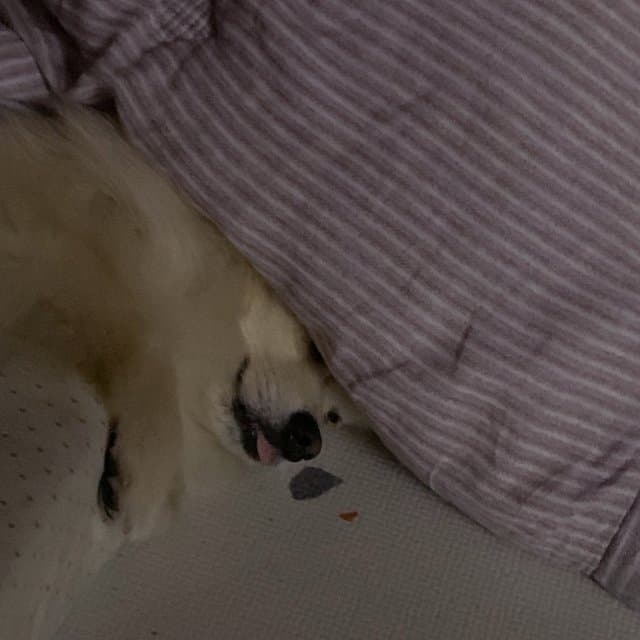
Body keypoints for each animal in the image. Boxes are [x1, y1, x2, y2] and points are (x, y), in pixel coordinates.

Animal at [0, 107, 358, 539]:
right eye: (314, 349)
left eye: (334, 417)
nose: (309, 441)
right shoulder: (71, 260)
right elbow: (146, 335)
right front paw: (148, 472)